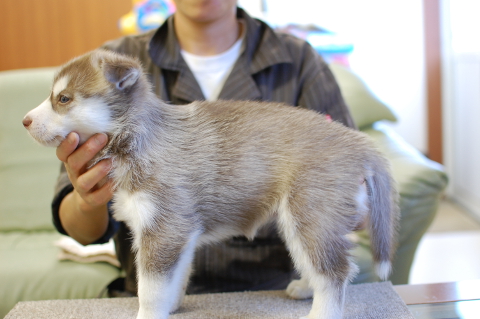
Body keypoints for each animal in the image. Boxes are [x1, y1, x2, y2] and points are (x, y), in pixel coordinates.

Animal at [21, 50, 398, 319]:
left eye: (63, 99)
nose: (24, 121)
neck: (137, 137)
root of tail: (359, 141)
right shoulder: (178, 232)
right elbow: (173, 278)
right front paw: (171, 305)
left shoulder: (164, 226)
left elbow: (150, 288)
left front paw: (150, 312)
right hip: (303, 220)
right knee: (319, 262)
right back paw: (305, 288)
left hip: (309, 212)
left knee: (335, 271)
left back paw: (322, 312)